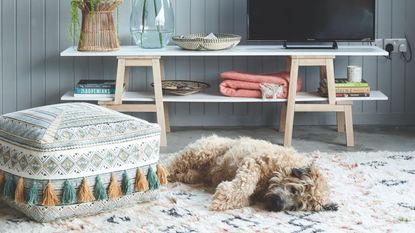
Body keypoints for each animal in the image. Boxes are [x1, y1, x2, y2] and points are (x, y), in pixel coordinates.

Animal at [168, 136, 338, 212]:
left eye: (296, 207)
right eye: (295, 190)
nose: (278, 206)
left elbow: (245, 198)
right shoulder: (254, 162)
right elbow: (245, 184)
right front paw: (223, 199)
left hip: (196, 173)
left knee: (185, 173)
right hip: (201, 152)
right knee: (173, 162)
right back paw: (163, 172)